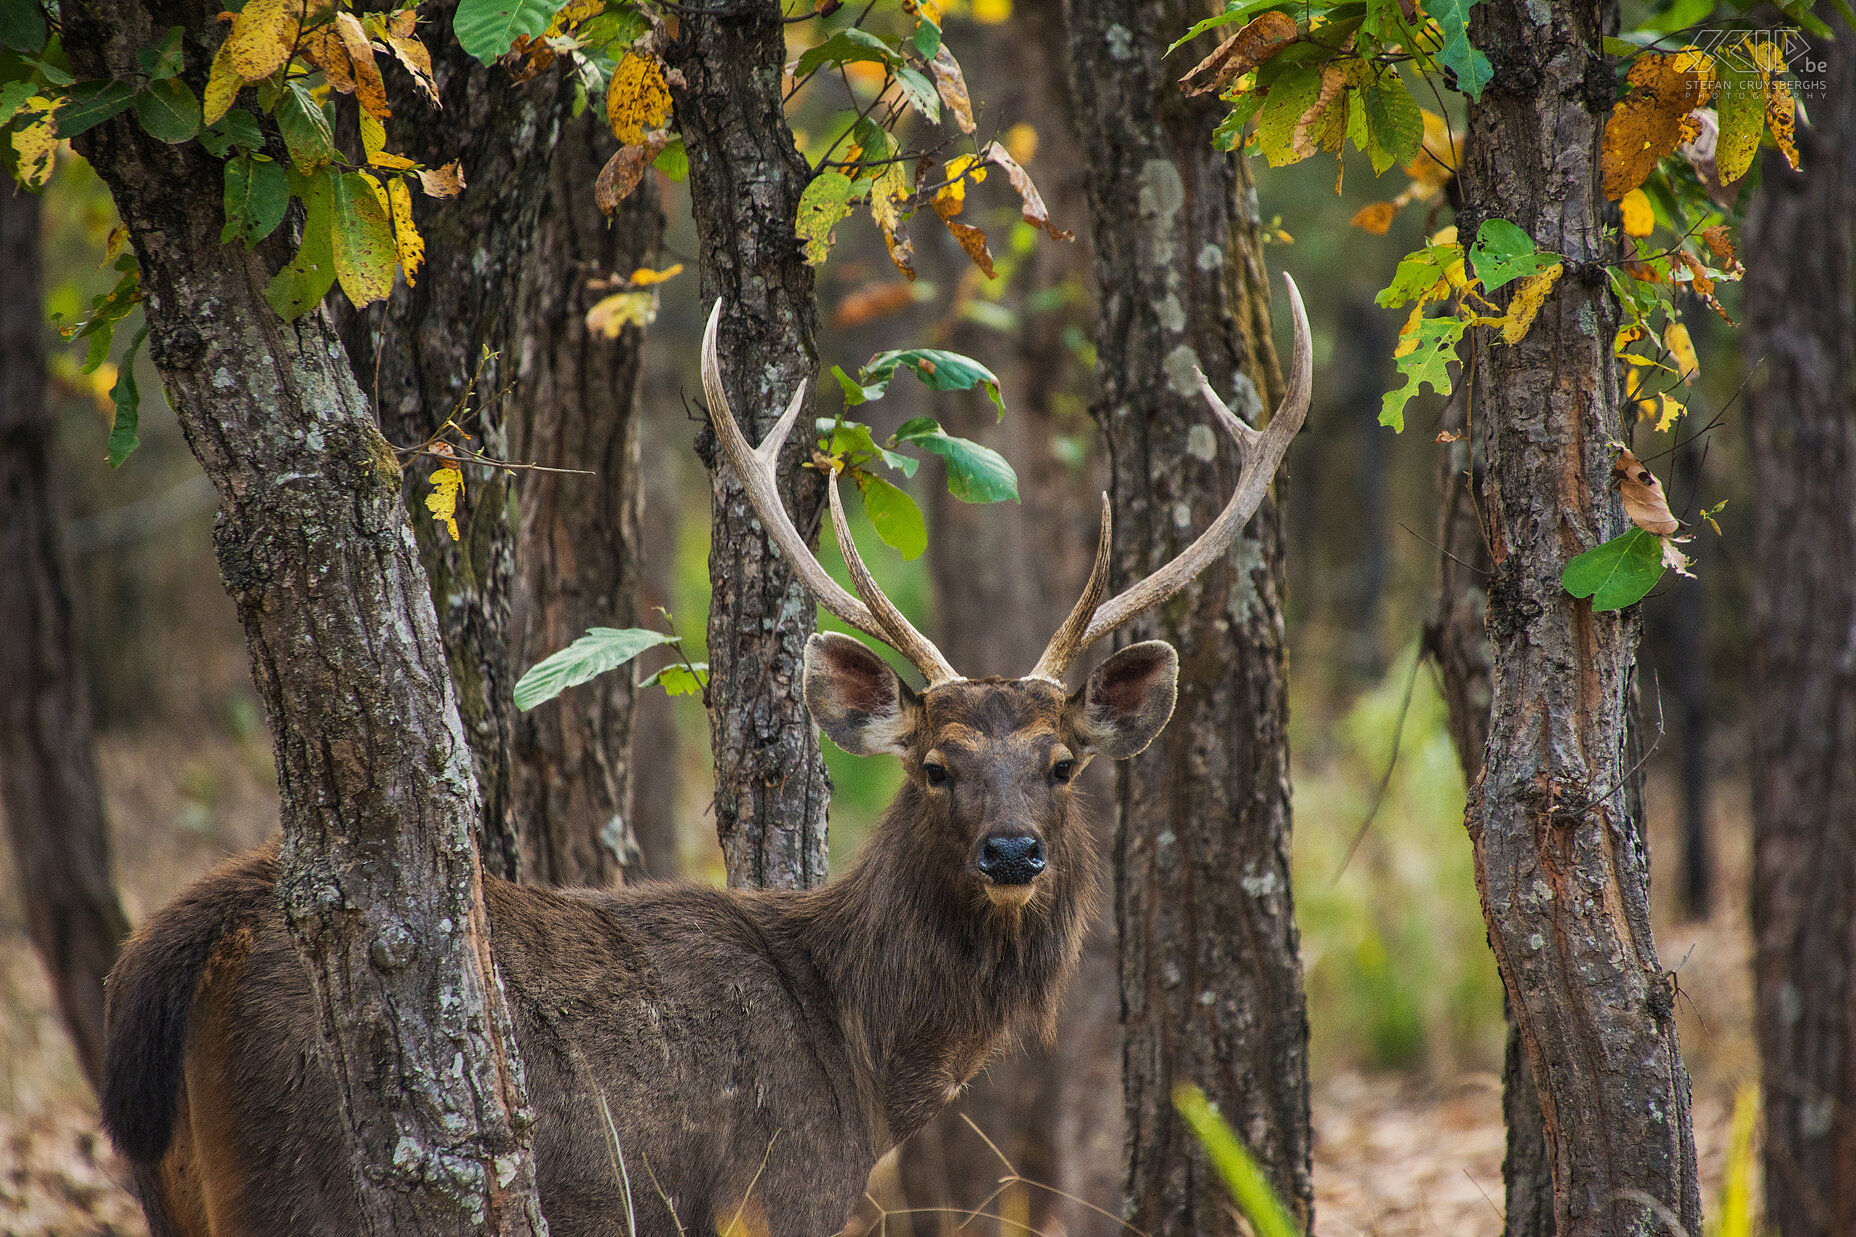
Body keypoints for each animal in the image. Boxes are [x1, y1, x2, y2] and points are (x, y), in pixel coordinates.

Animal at [101, 274, 1314, 1225]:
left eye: (1062, 764)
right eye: (936, 765)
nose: (1012, 851)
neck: (866, 1066)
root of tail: (173, 950)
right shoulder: (780, 1195)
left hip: (174, 1191)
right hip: (293, 1171)